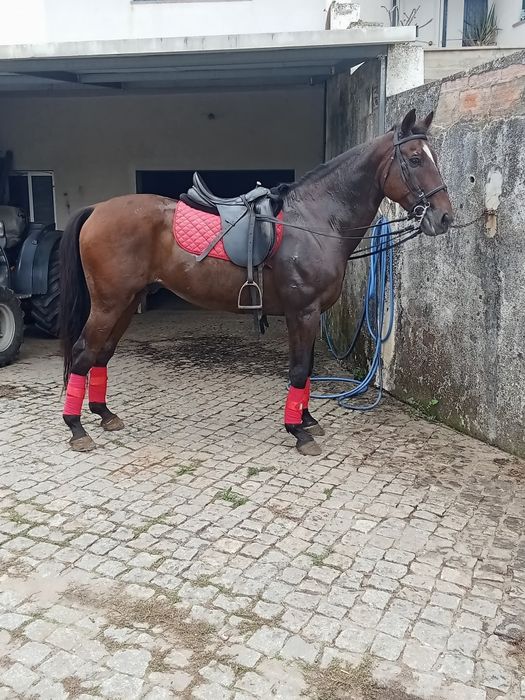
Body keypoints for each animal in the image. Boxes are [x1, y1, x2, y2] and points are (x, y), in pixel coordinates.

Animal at [59, 108, 453, 456]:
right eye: (415, 159)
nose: (444, 217)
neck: (315, 221)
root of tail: (98, 209)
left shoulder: (308, 315)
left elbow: (307, 368)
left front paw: (307, 420)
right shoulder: (303, 312)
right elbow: (299, 370)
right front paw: (298, 432)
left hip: (126, 302)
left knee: (102, 354)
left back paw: (104, 415)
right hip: (109, 304)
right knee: (83, 352)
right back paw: (76, 428)